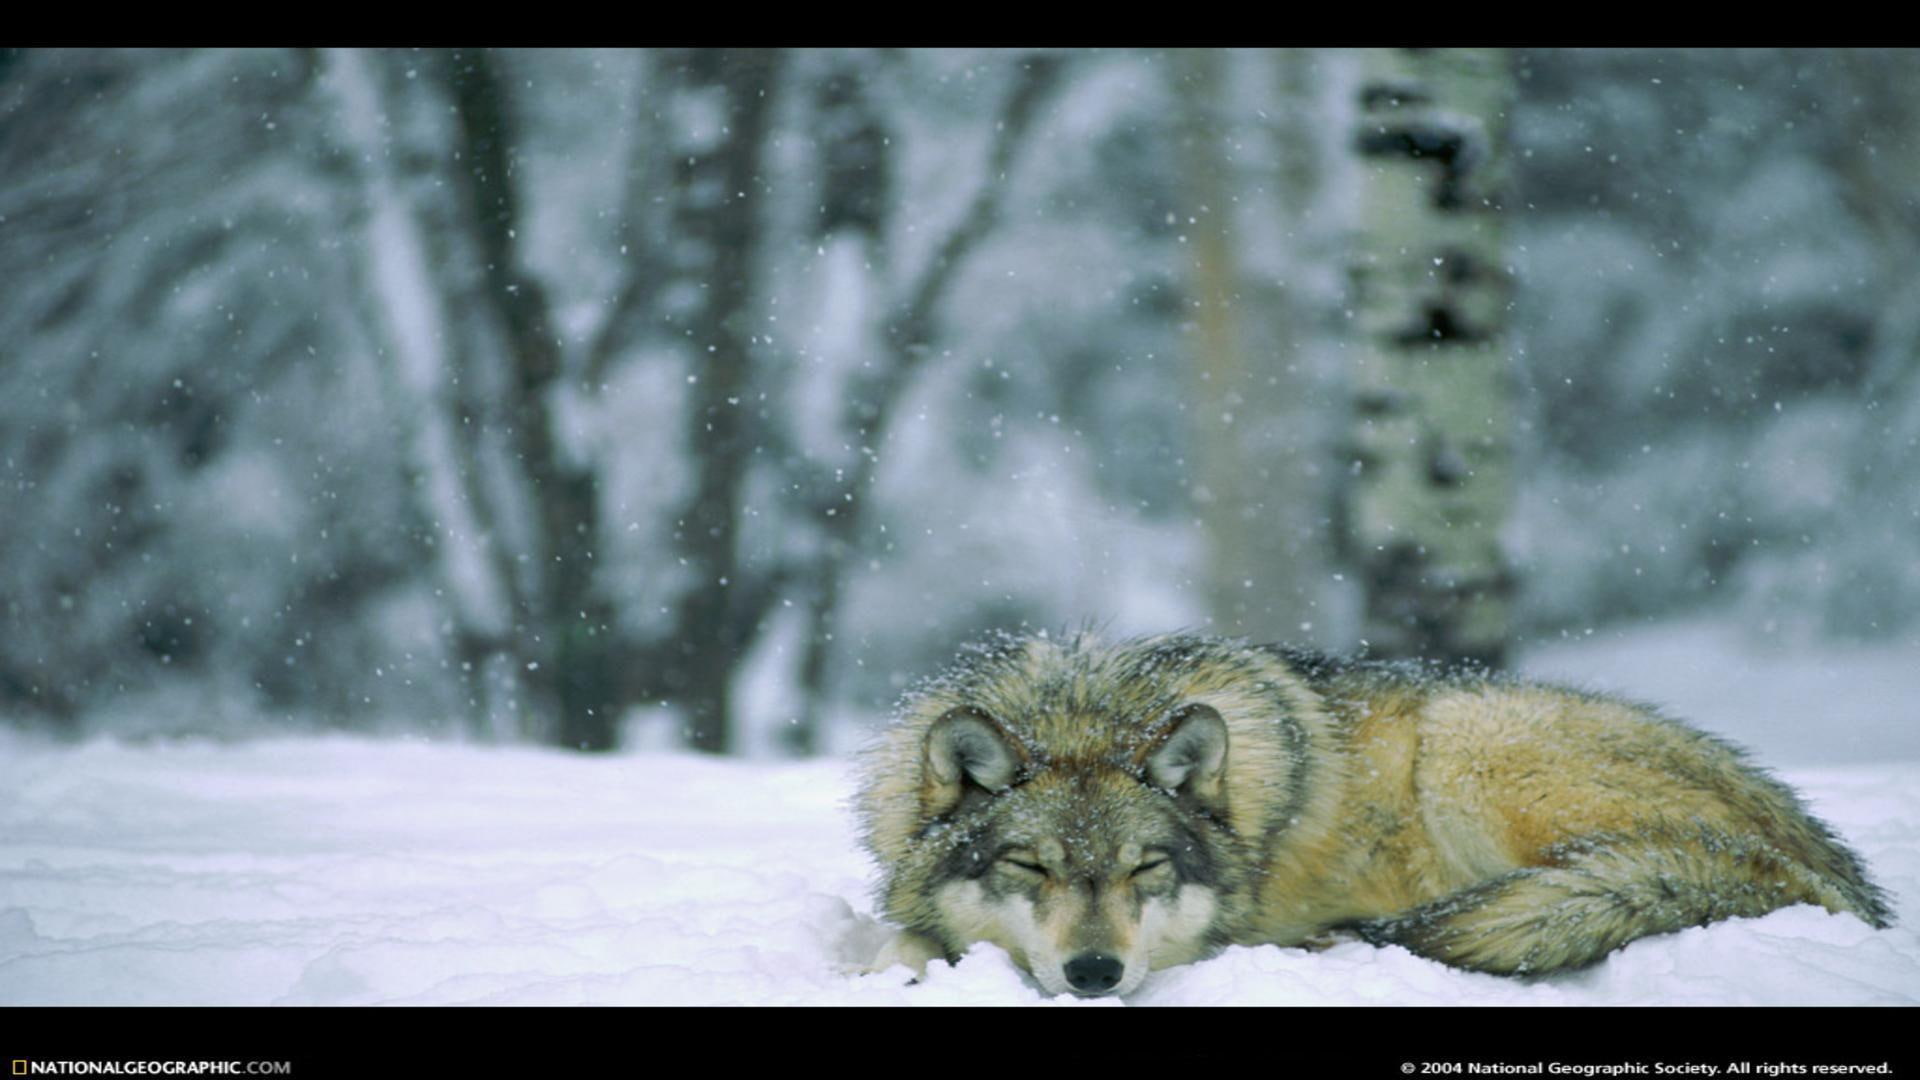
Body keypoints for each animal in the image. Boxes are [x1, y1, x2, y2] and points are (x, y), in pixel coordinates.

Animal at [853, 632, 1891, 996]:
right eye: (1030, 868)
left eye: (1147, 870)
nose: (1095, 973)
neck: (1083, 710)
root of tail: (1840, 877)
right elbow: (897, 932)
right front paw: (891, 967)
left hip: (1466, 740)